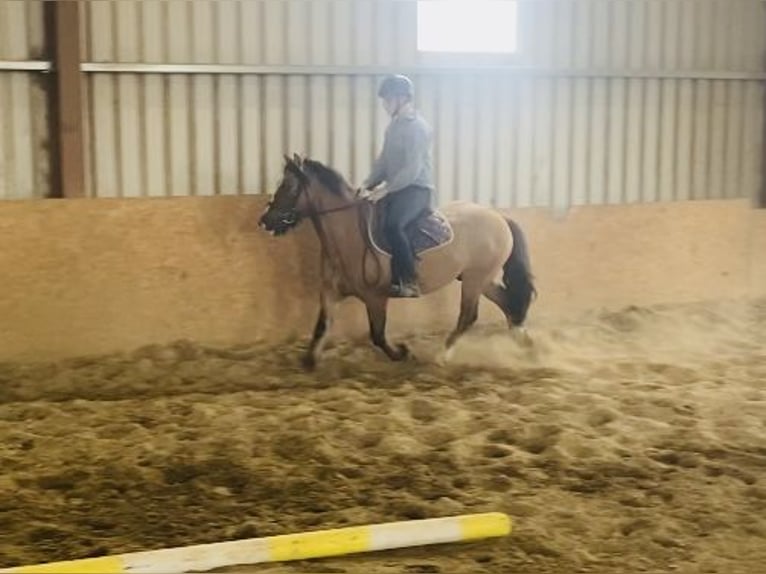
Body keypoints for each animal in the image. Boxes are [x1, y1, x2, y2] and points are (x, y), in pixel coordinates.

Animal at [258, 154, 536, 368]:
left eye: (289, 186)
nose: (265, 220)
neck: (348, 234)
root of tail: (499, 217)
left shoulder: (375, 297)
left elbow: (378, 335)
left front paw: (402, 353)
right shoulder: (330, 292)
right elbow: (321, 327)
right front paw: (310, 360)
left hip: (475, 279)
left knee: (469, 315)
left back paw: (442, 355)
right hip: (479, 278)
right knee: (508, 303)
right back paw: (524, 344)